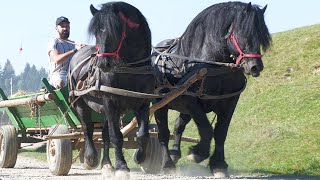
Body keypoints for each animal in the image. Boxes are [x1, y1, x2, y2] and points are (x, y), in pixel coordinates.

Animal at [69, 1, 155, 178]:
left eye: (115, 31)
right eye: (95, 33)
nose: (103, 64)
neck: (130, 70)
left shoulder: (143, 102)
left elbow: (143, 134)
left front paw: (139, 156)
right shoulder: (110, 102)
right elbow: (116, 136)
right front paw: (122, 166)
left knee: (104, 134)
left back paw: (107, 164)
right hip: (81, 104)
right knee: (87, 129)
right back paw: (91, 158)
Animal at [151, 1, 272, 178]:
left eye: (261, 36)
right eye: (244, 34)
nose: (255, 67)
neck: (209, 65)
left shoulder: (230, 101)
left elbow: (221, 132)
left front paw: (219, 164)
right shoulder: (190, 100)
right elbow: (207, 130)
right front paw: (198, 153)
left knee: (178, 126)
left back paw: (174, 154)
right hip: (160, 104)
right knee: (163, 133)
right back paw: (167, 164)